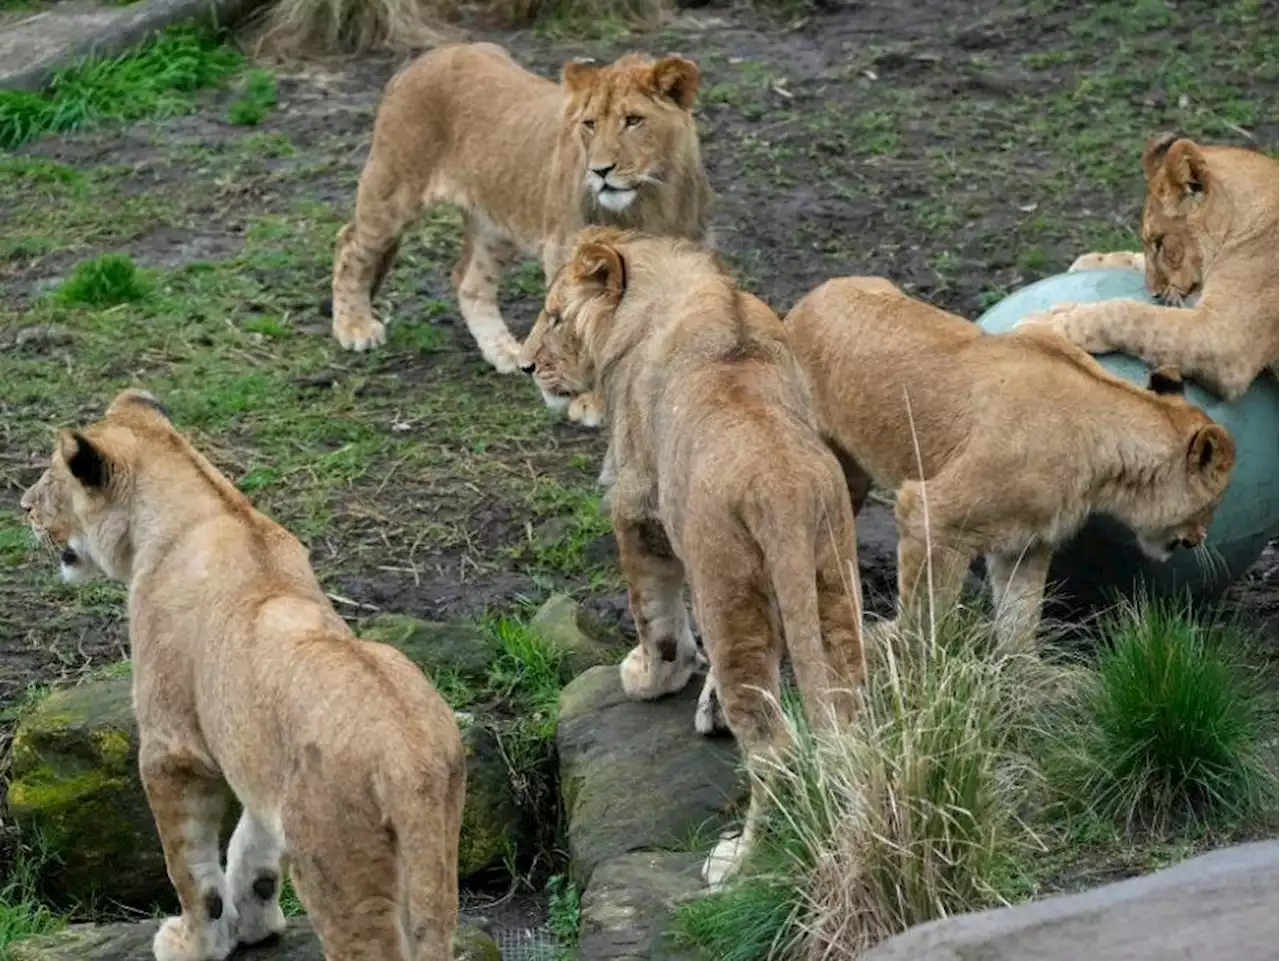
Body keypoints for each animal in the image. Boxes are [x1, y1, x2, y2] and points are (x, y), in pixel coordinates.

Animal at [18, 389, 465, 961]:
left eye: (51, 478)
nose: (24, 507)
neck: (213, 506)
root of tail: (410, 758)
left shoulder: (173, 748)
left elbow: (191, 870)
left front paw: (193, 942)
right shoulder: (253, 759)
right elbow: (252, 845)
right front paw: (254, 925)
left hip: (341, 871)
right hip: (437, 853)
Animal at [514, 229, 865, 890]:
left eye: (554, 317)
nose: (525, 366)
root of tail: (782, 486)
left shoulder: (637, 508)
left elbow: (657, 616)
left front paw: (649, 679)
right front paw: (708, 709)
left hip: (729, 588)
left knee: (775, 749)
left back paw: (735, 862)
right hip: (831, 583)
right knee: (847, 721)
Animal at [773, 273, 1233, 655]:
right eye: (1213, 504)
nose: (1200, 538)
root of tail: (805, 302)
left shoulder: (1025, 543)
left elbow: (1021, 615)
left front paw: (1022, 676)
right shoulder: (930, 513)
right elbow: (925, 614)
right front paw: (906, 659)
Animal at [1013, 129, 1274, 399]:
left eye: (1161, 243)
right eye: (1151, 243)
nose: (1154, 293)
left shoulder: (1224, 342)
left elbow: (1130, 313)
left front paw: (1048, 324)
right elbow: (1135, 266)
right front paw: (1091, 263)